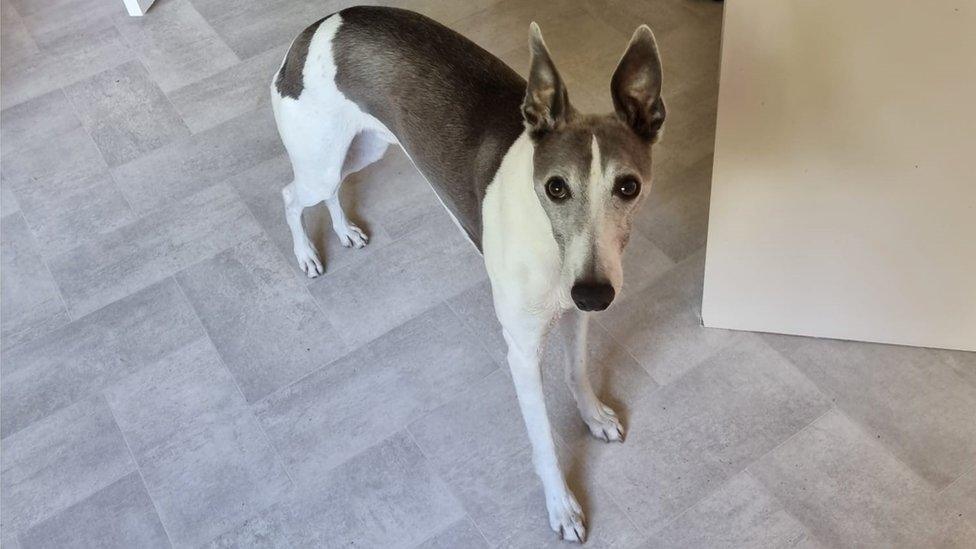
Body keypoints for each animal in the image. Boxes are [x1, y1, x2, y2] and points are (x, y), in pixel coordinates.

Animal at [268, 6, 664, 540]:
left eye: (629, 186)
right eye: (556, 188)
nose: (595, 294)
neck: (549, 242)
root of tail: (317, 25)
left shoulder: (578, 313)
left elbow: (578, 369)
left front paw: (594, 415)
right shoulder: (522, 352)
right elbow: (544, 440)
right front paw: (561, 507)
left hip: (361, 149)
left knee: (330, 191)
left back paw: (344, 229)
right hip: (320, 161)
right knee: (292, 196)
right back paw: (307, 253)